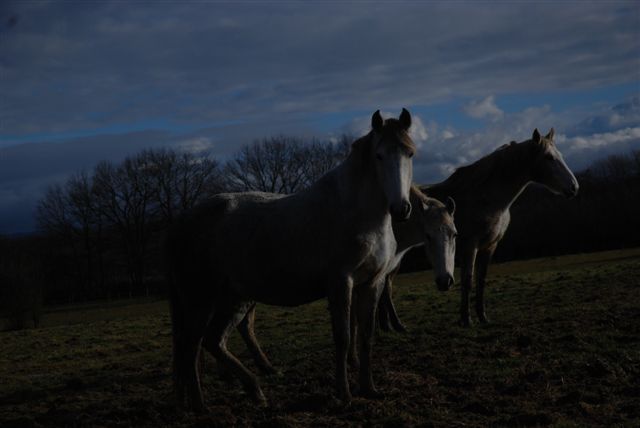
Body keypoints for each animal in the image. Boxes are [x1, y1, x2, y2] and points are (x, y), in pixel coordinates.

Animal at [165, 108, 416, 410]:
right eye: (379, 155)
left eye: (410, 153)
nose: (401, 209)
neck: (358, 213)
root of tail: (181, 222)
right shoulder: (341, 282)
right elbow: (343, 338)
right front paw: (344, 394)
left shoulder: (371, 283)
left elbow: (366, 338)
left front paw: (369, 389)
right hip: (200, 301)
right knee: (191, 347)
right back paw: (203, 405)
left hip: (233, 299)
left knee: (213, 341)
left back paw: (252, 390)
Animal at [378, 127, 584, 328]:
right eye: (549, 157)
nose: (574, 187)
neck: (485, 198)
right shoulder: (470, 247)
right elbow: (468, 281)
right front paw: (466, 319)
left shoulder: (489, 246)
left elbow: (481, 281)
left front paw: (483, 317)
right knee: (386, 286)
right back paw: (395, 325)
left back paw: (387, 325)